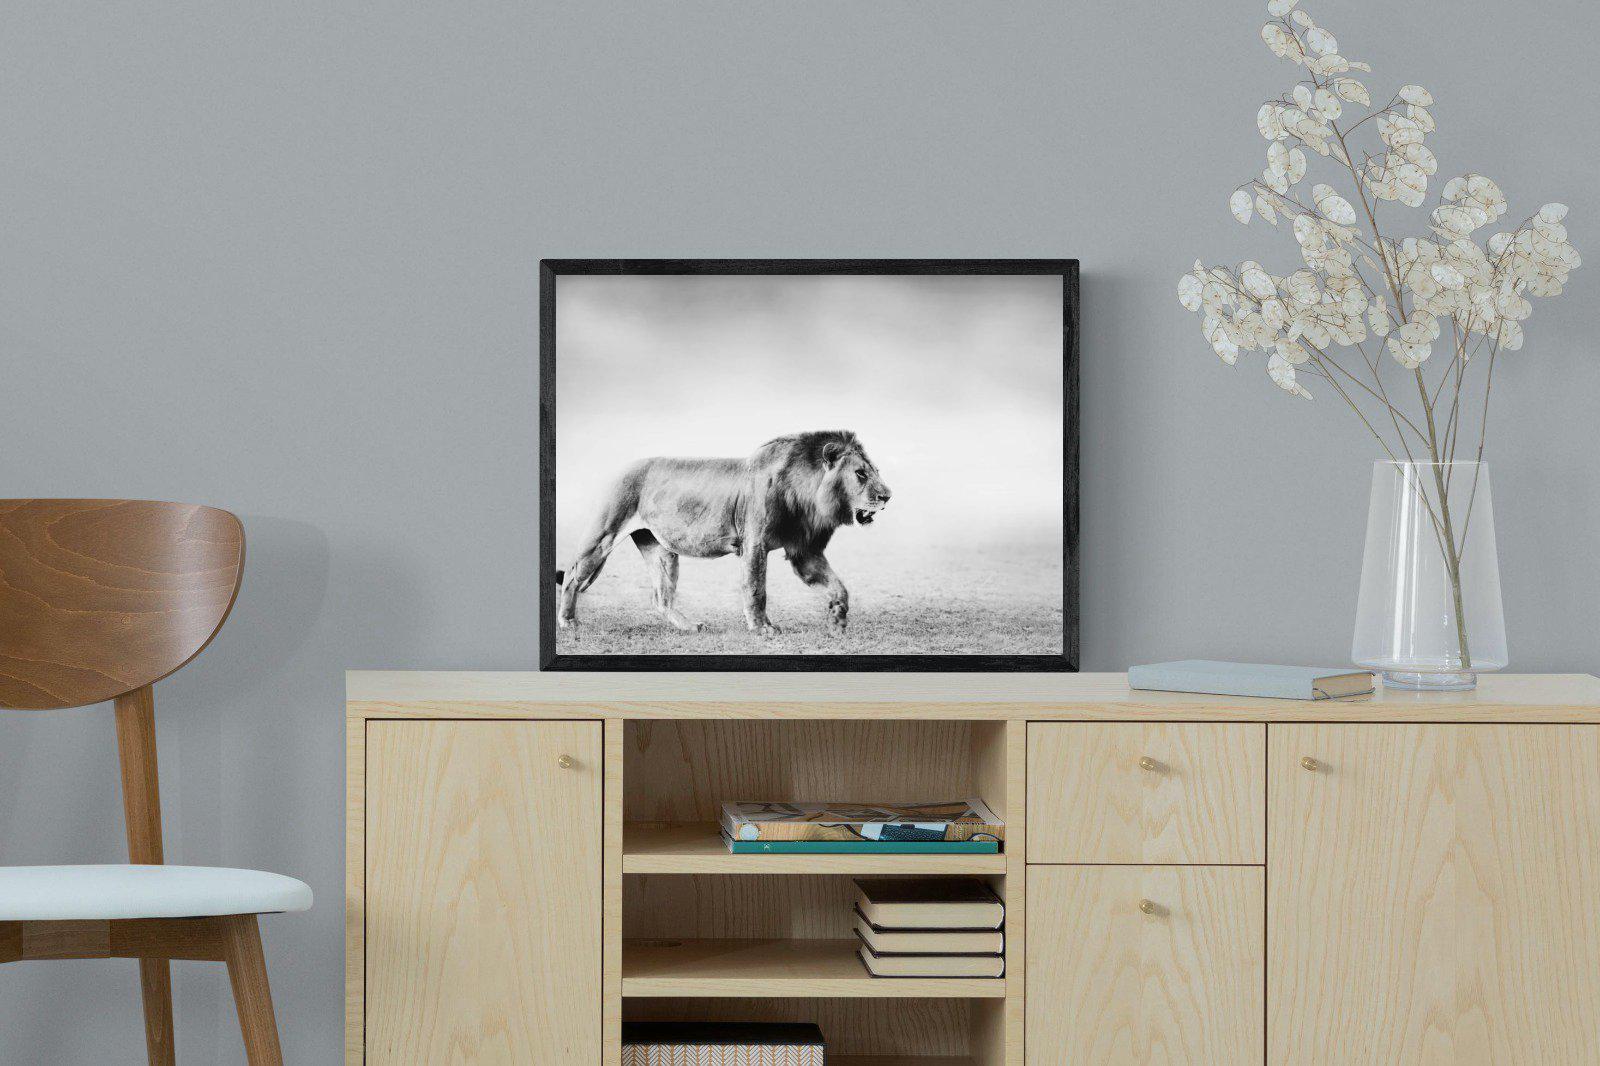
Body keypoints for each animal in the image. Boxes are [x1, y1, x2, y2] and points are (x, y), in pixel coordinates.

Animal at [557, 430, 891, 636]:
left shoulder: (804, 551)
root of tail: (619, 468)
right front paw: (762, 629)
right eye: (861, 474)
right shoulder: (754, 543)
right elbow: (756, 589)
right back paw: (567, 621)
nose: (888, 496)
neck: (808, 495)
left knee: (660, 598)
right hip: (603, 534)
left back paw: (689, 627)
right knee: (573, 576)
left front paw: (838, 618)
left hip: (661, 550)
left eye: (875, 471)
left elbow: (839, 587)